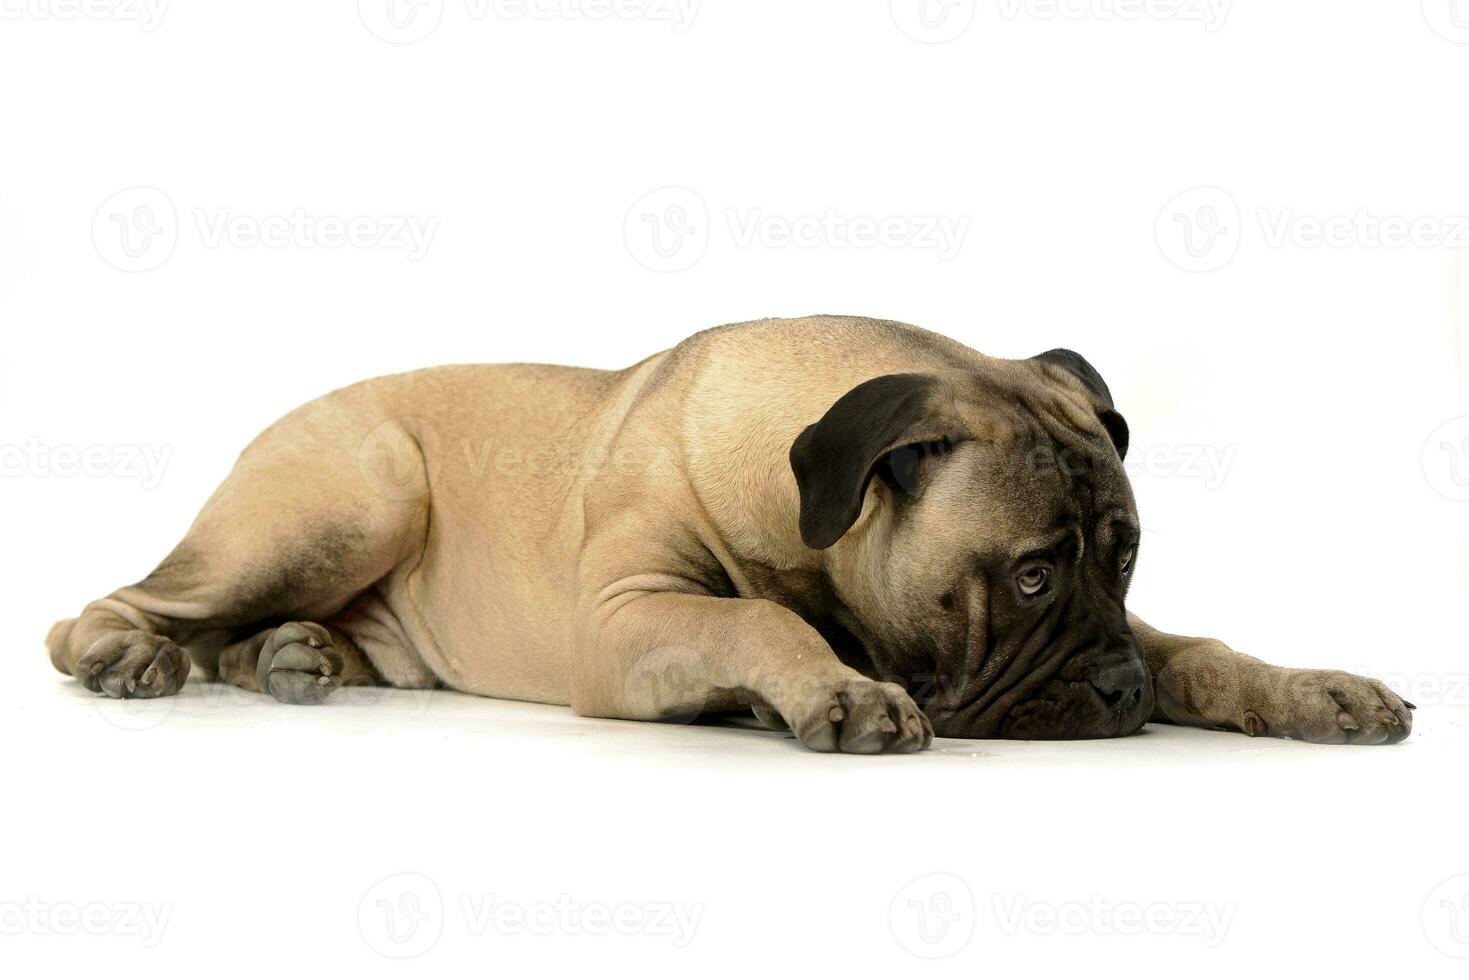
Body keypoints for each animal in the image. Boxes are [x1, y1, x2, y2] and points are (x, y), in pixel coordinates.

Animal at [51, 314, 1416, 752]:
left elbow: (1203, 645)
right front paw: (839, 689)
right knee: (112, 608)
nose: (1121, 690)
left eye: (1124, 556)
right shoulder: (624, 623)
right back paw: (127, 655)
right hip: (361, 491)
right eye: (1027, 576)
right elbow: (751, 614)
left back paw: (298, 653)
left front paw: (1313, 689)